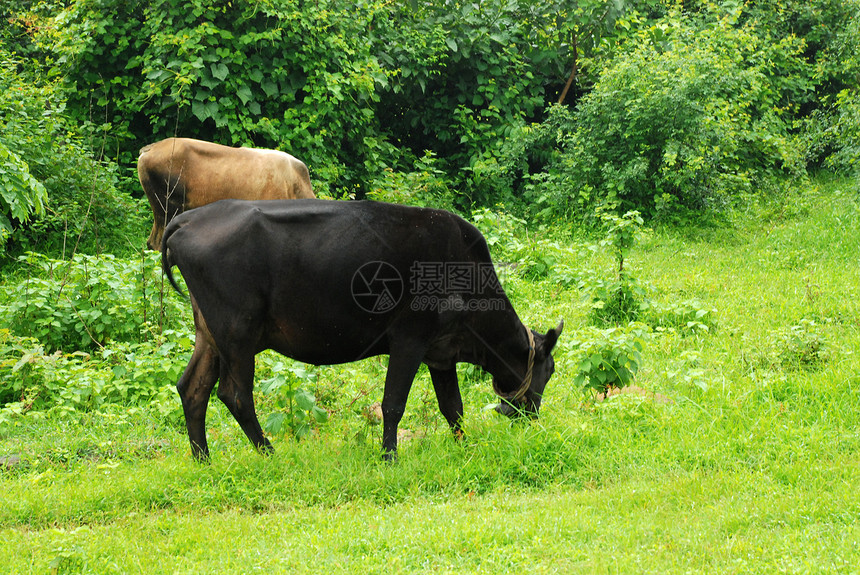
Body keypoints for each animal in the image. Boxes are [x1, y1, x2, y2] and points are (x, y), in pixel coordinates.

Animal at [163, 200, 564, 462]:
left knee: (192, 388)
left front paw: (465, 447)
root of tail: (189, 218)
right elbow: (393, 404)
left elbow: (453, 407)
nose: (532, 415)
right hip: (238, 334)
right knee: (234, 394)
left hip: (211, 335)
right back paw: (269, 454)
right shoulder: (409, 339)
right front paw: (389, 458)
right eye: (550, 370)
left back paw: (203, 460)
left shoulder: (441, 351)